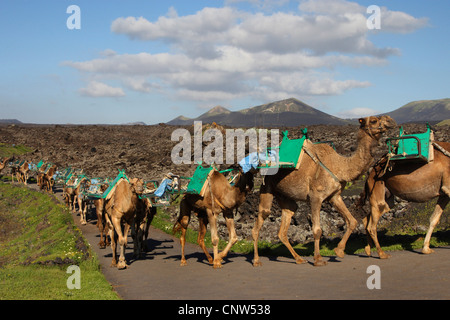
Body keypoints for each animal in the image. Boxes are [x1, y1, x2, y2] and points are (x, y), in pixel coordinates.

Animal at [251, 116, 396, 266]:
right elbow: (317, 230)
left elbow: (352, 221)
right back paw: (256, 260)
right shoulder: (315, 197)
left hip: (284, 195)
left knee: (285, 224)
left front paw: (339, 251)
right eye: (373, 120)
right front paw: (318, 259)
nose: (391, 121)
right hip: (267, 185)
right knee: (260, 220)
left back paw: (299, 259)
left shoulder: (335, 196)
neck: (341, 166)